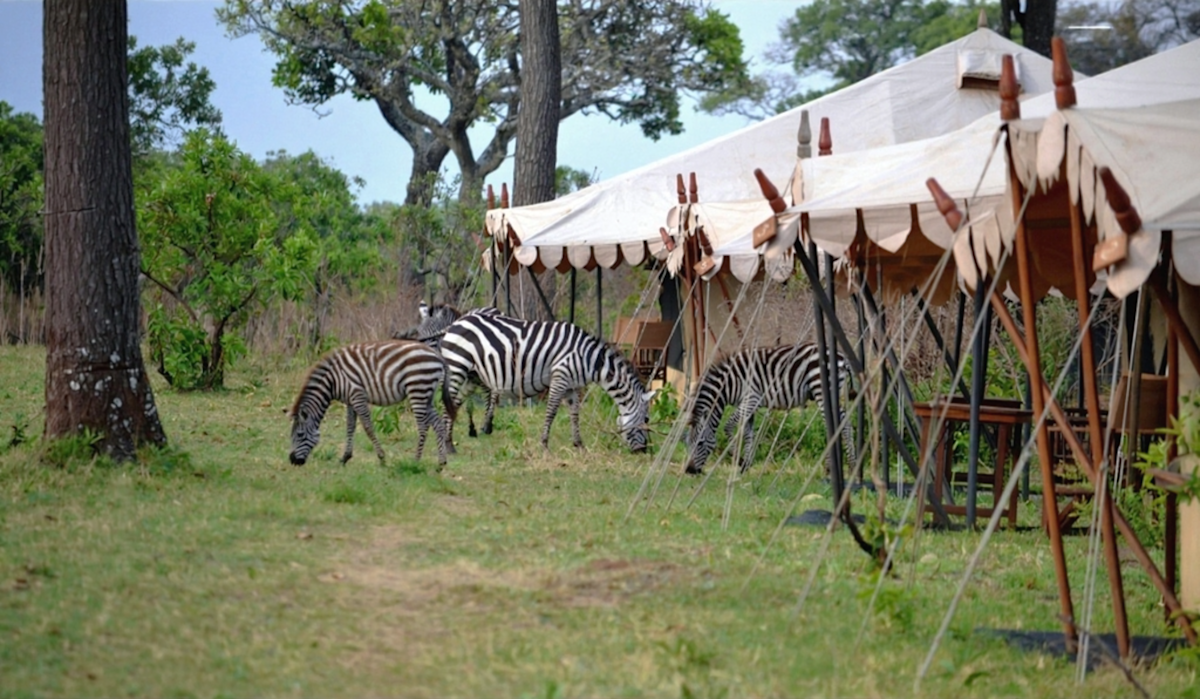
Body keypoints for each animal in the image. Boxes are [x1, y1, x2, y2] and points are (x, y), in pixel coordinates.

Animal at [288, 339, 455, 467]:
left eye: (300, 435)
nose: (292, 461)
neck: (333, 380)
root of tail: (438, 356)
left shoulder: (357, 395)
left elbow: (367, 427)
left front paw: (382, 458)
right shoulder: (350, 401)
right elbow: (350, 427)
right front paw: (345, 458)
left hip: (418, 389)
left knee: (423, 427)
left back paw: (416, 461)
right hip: (427, 395)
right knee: (438, 424)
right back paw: (441, 463)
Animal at [439, 310, 656, 452]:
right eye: (646, 419)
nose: (644, 451)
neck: (589, 358)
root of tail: (457, 322)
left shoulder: (572, 386)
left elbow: (574, 413)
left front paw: (579, 444)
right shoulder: (560, 377)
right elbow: (551, 411)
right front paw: (544, 444)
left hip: (471, 375)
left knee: (454, 404)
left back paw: (450, 443)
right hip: (457, 366)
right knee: (447, 403)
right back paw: (446, 445)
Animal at [684, 342, 854, 475]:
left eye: (700, 443)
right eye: (688, 443)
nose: (689, 471)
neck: (731, 382)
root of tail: (842, 357)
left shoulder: (751, 399)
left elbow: (728, 426)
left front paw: (737, 458)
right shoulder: (749, 406)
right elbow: (748, 434)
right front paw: (745, 466)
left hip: (822, 390)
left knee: (843, 425)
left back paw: (848, 467)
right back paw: (833, 468)